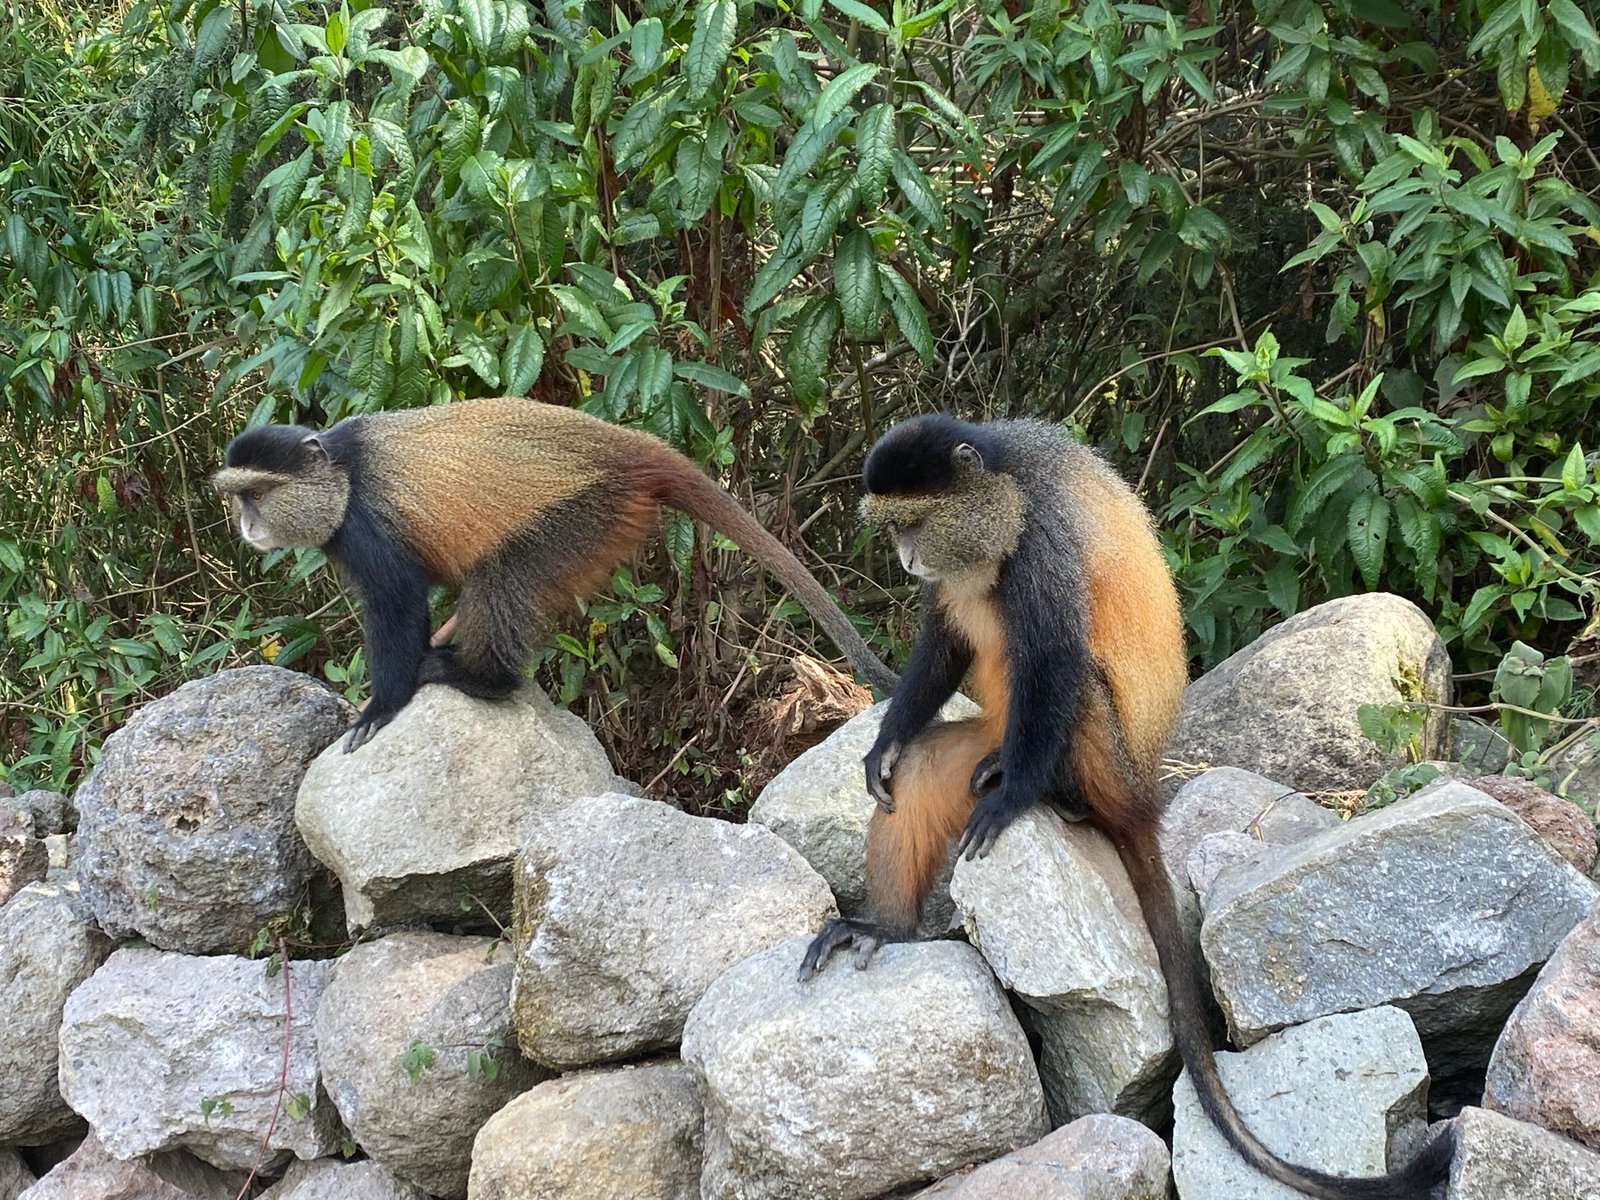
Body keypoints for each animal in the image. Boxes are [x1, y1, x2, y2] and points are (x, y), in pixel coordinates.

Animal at [212, 397, 899, 751]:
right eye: (239, 497)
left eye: (257, 494)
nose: (246, 526)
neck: (340, 475)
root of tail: (629, 449)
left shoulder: (365, 531)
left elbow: (398, 605)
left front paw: (382, 704)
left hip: (583, 515)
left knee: (503, 574)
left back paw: (481, 677)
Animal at [797, 414, 1453, 1200]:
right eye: (895, 527)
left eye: (917, 522)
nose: (905, 558)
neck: (1002, 483)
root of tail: (1142, 799)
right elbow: (945, 645)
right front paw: (886, 743)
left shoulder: (1041, 547)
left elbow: (1055, 654)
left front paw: (1012, 800)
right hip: (996, 736)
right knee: (931, 770)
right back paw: (888, 927)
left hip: (1093, 758)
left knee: (1074, 677)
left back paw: (1049, 795)